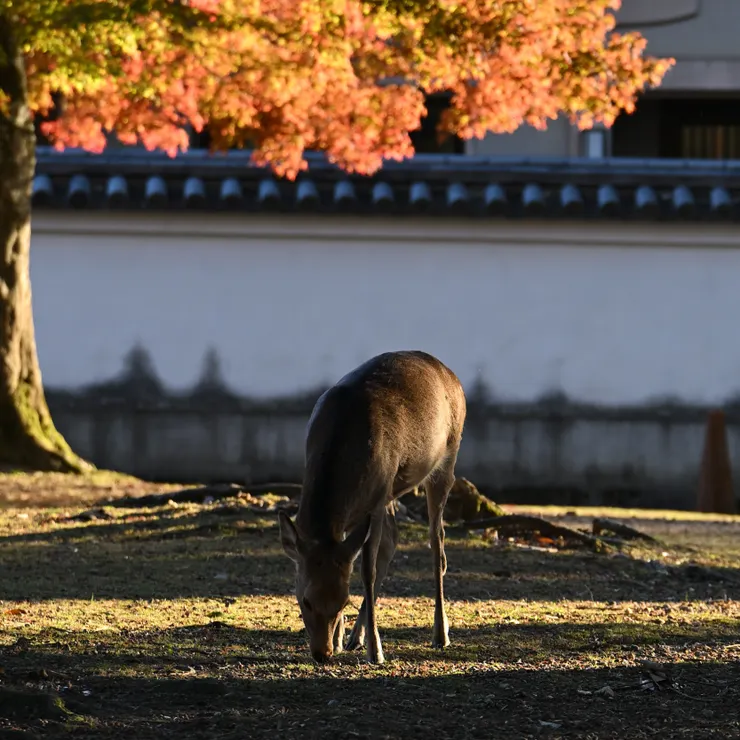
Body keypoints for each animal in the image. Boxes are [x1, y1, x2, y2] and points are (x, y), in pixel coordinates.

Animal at [280, 352, 466, 664]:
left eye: (344, 600)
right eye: (304, 599)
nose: (322, 653)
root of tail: (450, 374)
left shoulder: (375, 502)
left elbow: (367, 570)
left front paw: (375, 651)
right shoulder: (364, 506)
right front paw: (342, 638)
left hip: (446, 459)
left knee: (436, 543)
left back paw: (440, 635)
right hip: (390, 490)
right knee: (393, 541)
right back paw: (355, 638)